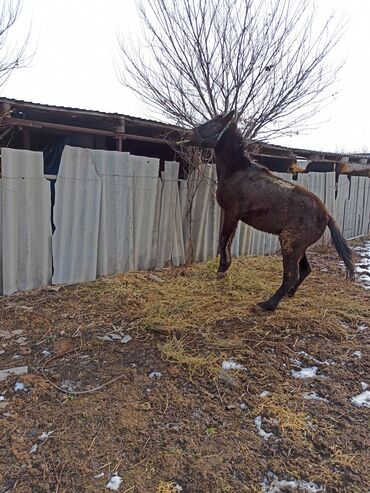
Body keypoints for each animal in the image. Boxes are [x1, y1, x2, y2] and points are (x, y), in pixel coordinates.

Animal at [181, 112, 354, 312]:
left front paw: (221, 270)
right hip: (298, 246)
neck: (238, 172)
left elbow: (223, 239)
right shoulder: (233, 216)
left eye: (212, 124)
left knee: (291, 275)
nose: (186, 135)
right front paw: (224, 268)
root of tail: (326, 215)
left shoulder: (231, 213)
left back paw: (268, 304)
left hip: (290, 244)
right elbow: (228, 241)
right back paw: (289, 295)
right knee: (305, 270)